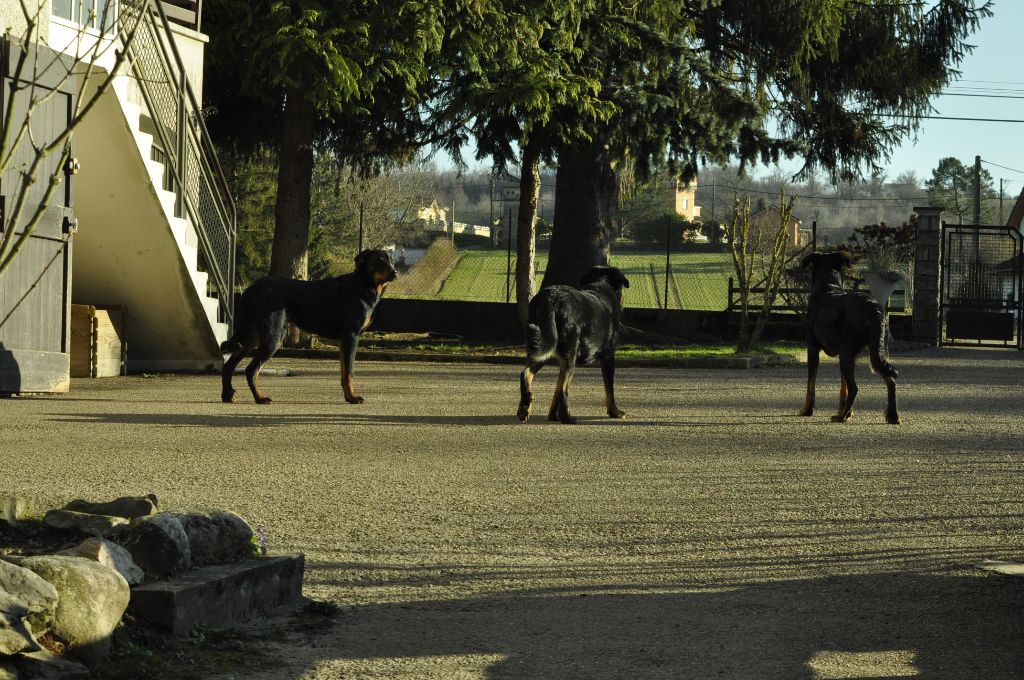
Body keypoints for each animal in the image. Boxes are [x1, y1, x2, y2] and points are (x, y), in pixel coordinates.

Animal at [220, 251, 395, 405]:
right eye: (379, 260)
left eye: (391, 260)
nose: (395, 272)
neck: (364, 284)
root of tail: (253, 288)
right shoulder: (352, 335)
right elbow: (349, 372)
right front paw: (353, 397)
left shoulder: (344, 339)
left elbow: (344, 372)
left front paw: (348, 396)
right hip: (273, 336)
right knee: (251, 370)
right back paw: (260, 398)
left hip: (251, 337)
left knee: (229, 365)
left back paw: (227, 394)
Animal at [516, 266, 626, 421]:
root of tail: (551, 298)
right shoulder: (608, 358)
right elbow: (610, 389)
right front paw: (615, 412)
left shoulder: (562, 363)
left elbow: (556, 391)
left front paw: (552, 415)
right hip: (569, 355)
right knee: (564, 391)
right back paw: (567, 418)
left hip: (542, 347)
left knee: (526, 374)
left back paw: (525, 407)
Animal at [794, 251, 901, 421]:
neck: (828, 286)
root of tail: (873, 307)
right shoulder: (851, 355)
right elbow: (843, 386)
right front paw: (843, 410)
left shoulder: (813, 349)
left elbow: (811, 384)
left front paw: (807, 409)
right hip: (875, 349)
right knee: (889, 379)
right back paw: (892, 416)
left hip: (846, 351)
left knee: (854, 387)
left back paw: (842, 417)